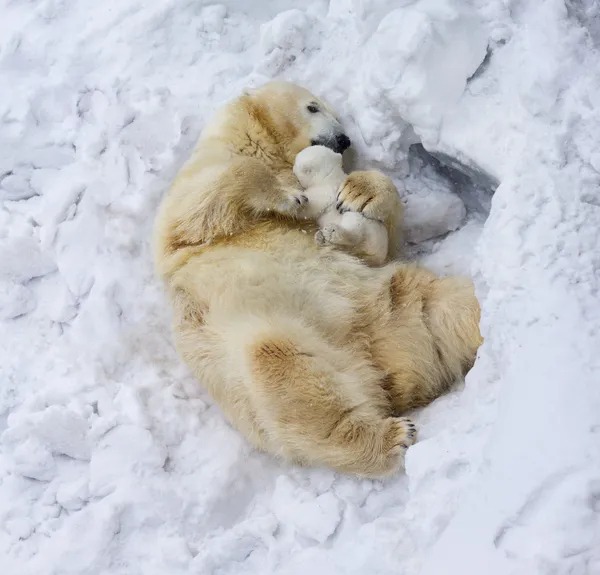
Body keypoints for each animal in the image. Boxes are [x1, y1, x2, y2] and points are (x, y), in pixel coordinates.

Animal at [155, 80, 482, 476]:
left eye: (336, 115)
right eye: (313, 107)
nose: (343, 139)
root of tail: (384, 369)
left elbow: (382, 245)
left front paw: (360, 191)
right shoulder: (196, 188)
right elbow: (199, 207)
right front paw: (289, 196)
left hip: (400, 304)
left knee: (455, 306)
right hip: (269, 338)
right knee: (280, 362)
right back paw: (390, 436)